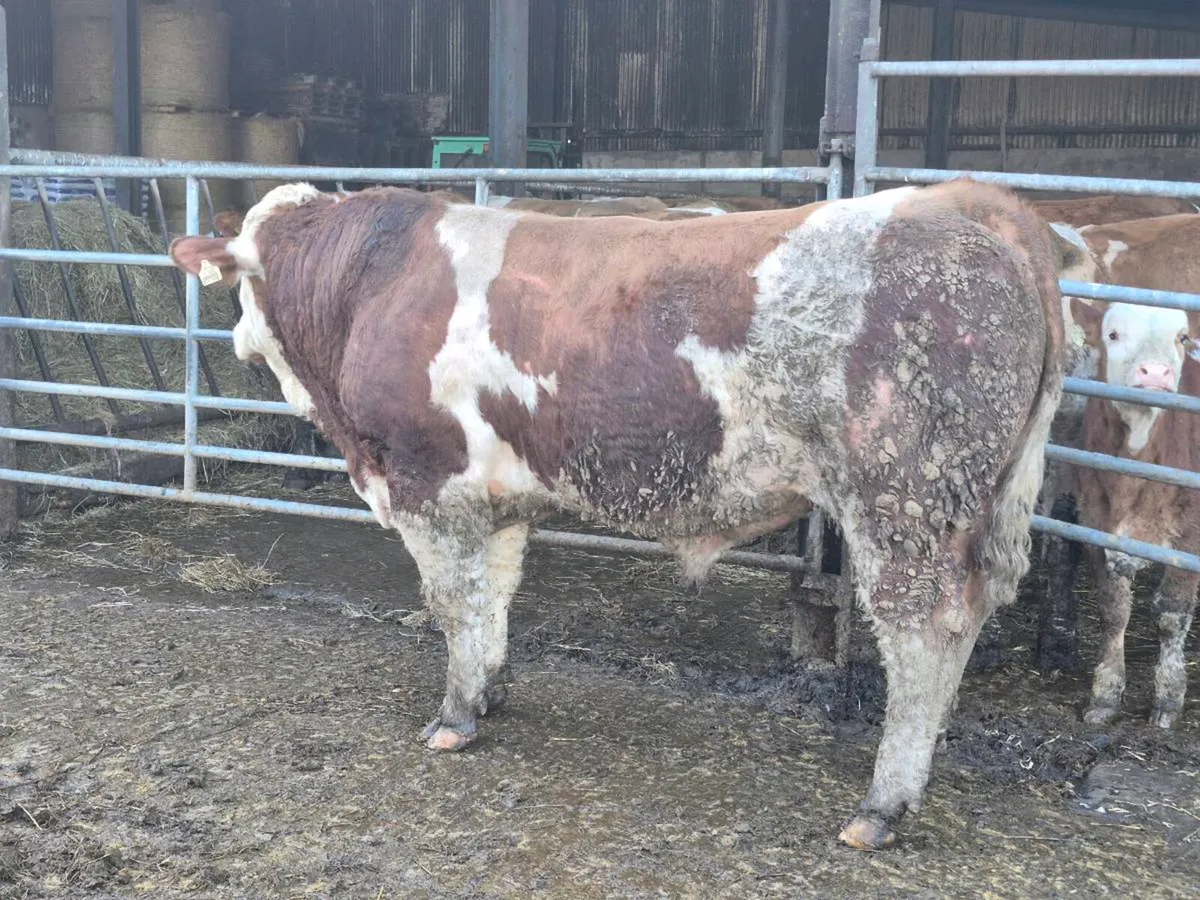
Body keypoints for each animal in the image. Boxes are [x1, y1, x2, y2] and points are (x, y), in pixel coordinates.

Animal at [168, 178, 1065, 850]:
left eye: (240, 283)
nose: (237, 341)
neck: (367, 284)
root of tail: (970, 204)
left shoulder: (429, 481)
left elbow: (451, 603)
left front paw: (455, 717)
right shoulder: (497, 498)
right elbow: (495, 595)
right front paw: (491, 689)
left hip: (905, 500)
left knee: (923, 632)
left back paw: (883, 805)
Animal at [1069, 298, 1199, 728]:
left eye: (1182, 338)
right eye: (1113, 335)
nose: (1155, 372)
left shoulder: (1190, 538)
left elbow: (1172, 615)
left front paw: (1168, 698)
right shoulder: (1093, 523)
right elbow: (1113, 611)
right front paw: (1105, 694)